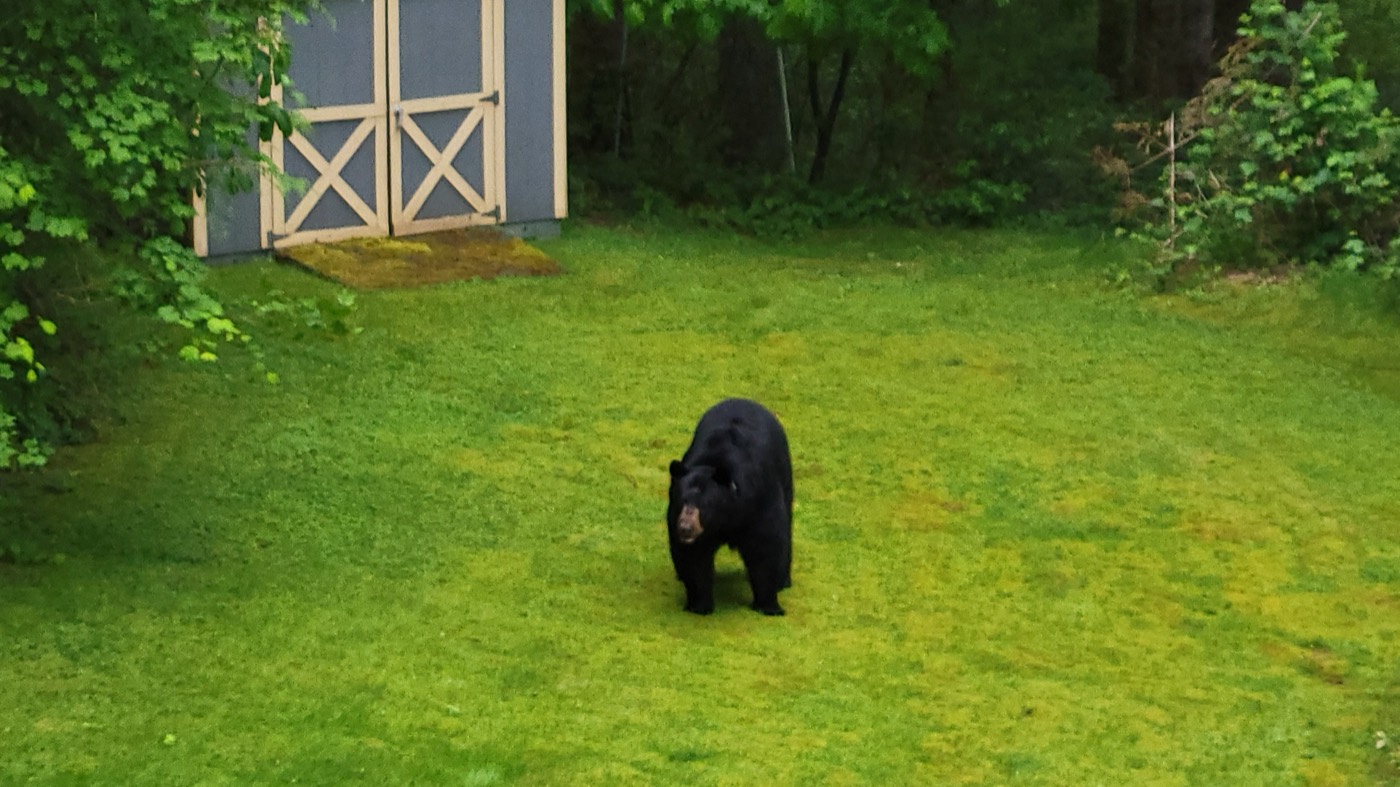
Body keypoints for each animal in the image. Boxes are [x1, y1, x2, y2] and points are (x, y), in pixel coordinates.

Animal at [666, 398, 793, 616]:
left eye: (703, 505)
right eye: (681, 501)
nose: (685, 528)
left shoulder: (759, 501)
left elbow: (767, 545)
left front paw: (769, 605)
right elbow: (694, 558)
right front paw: (699, 605)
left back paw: (784, 581)